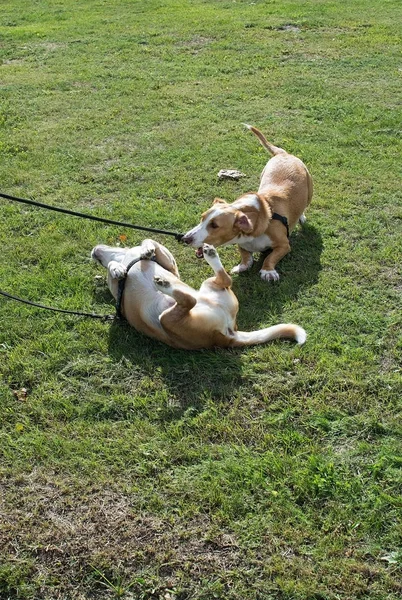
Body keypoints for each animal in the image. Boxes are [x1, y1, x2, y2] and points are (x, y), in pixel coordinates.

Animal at [92, 239, 304, 350]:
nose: (94, 251)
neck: (127, 257)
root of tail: (229, 333)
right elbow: (115, 268)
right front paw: (117, 269)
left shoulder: (170, 264)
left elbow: (149, 241)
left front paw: (145, 250)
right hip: (168, 319)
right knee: (191, 299)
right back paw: (164, 284)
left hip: (206, 288)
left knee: (221, 282)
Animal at [182, 125, 314, 284]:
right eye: (202, 218)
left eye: (214, 225)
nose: (185, 239)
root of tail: (283, 154)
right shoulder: (242, 244)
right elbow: (245, 254)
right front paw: (243, 265)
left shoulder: (284, 244)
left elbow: (270, 257)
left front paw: (268, 271)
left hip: (309, 191)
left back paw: (301, 217)